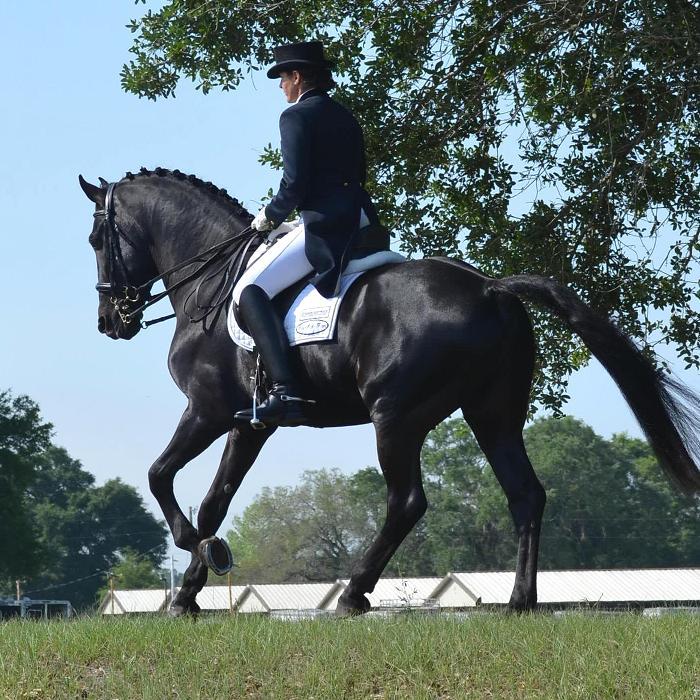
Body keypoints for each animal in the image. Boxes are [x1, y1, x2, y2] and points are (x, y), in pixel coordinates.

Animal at [79, 167, 696, 616]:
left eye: (95, 238)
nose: (111, 321)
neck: (213, 280)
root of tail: (492, 288)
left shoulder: (207, 410)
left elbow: (160, 476)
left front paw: (196, 550)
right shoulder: (250, 421)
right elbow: (215, 499)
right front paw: (189, 590)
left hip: (395, 416)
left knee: (407, 501)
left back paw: (354, 594)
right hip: (492, 413)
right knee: (525, 494)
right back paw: (520, 602)